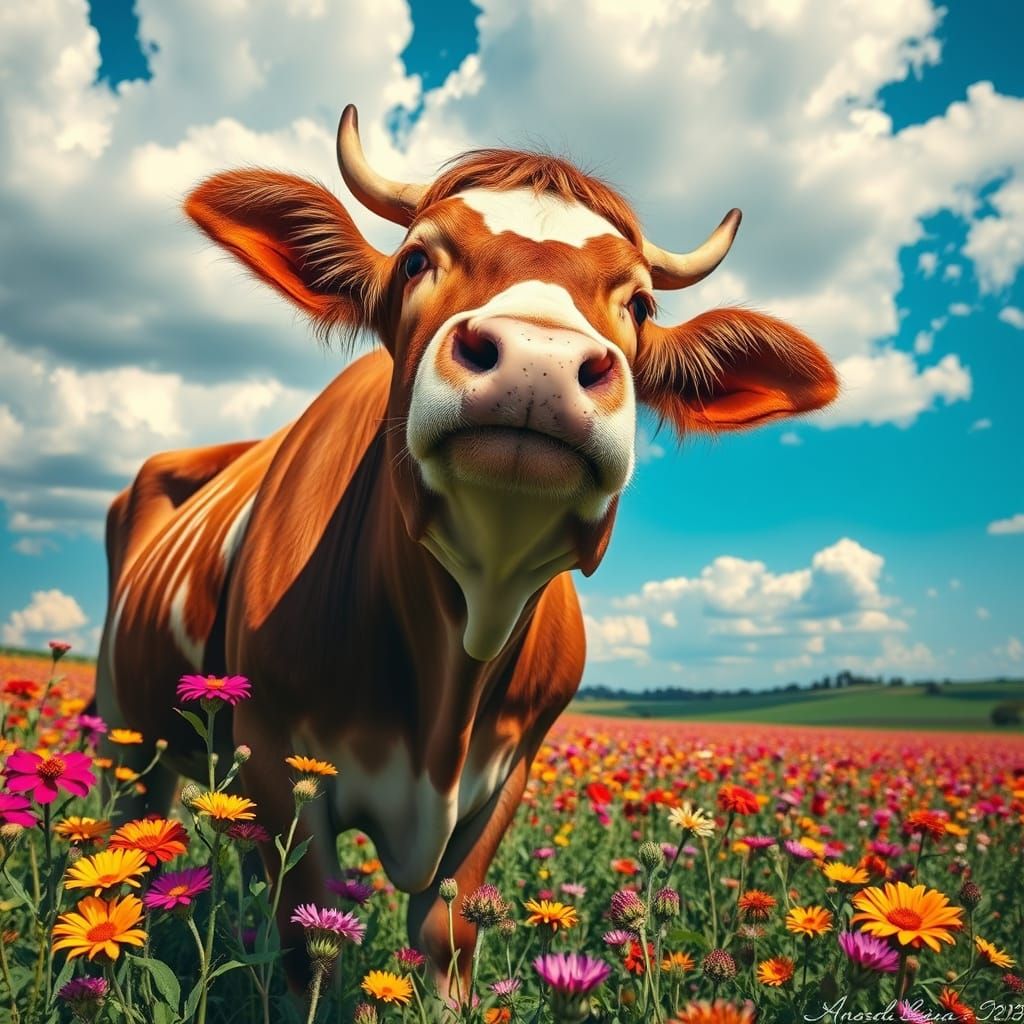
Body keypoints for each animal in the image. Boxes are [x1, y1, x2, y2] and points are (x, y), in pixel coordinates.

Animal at [95, 104, 838, 992]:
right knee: (134, 831)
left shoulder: (509, 769)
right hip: (123, 733)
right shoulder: (274, 750)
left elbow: (447, 929)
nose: (539, 362)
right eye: (419, 257)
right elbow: (309, 941)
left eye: (642, 304)